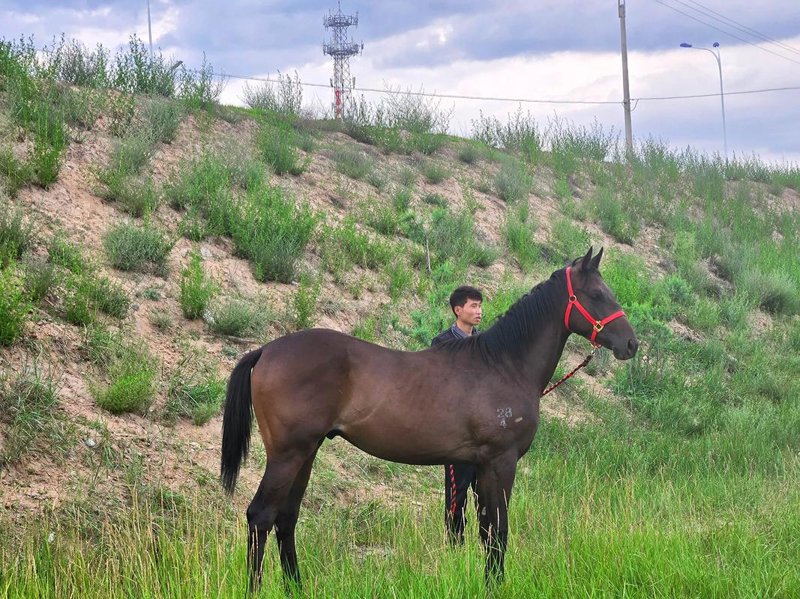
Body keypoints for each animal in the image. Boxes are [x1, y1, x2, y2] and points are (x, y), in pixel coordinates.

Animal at [220, 247, 638, 591]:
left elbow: (482, 530)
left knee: (286, 519)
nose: (631, 344)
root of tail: (266, 350)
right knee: (261, 517)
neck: (502, 364)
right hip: (288, 454)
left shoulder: (478, 467)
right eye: (597, 295)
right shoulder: (500, 463)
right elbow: (499, 531)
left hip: (306, 454)